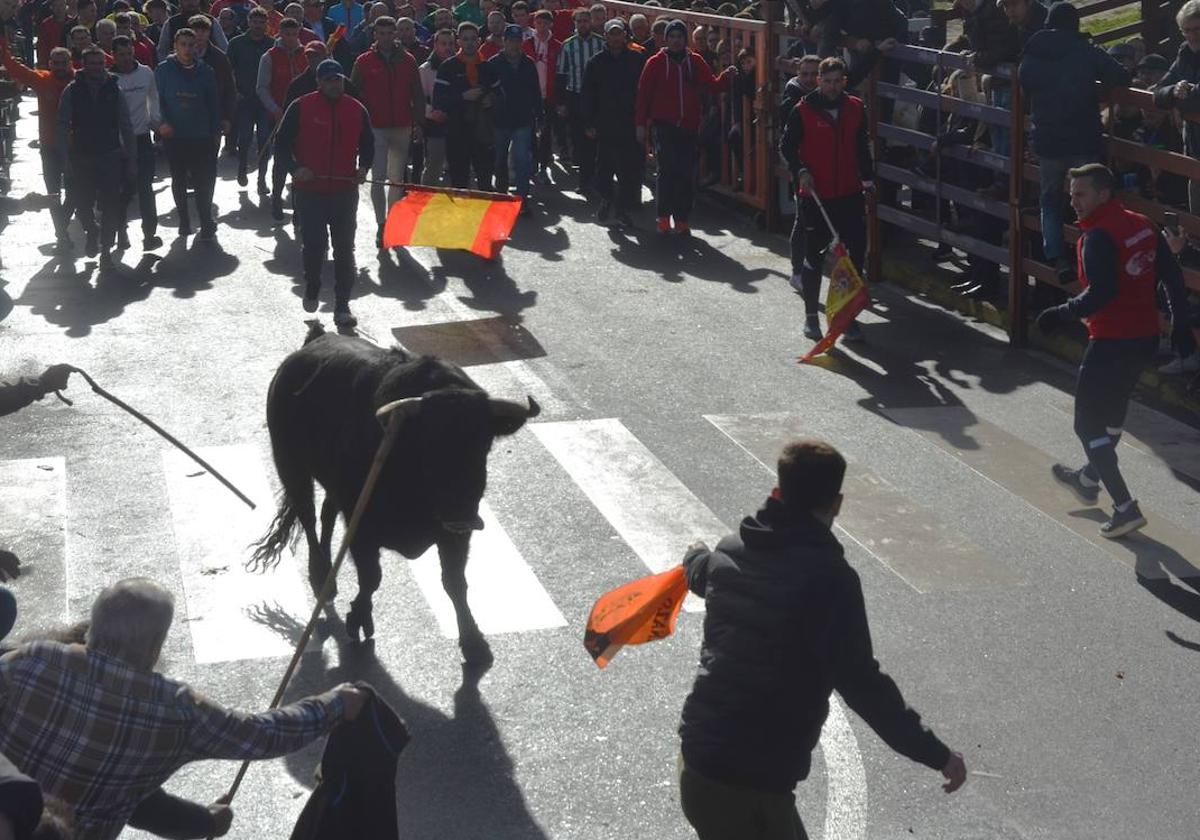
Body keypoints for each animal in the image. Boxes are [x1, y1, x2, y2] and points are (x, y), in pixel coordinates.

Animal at [253, 328, 540, 662]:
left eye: (484, 443)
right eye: (428, 443)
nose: (459, 512)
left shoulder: (455, 535)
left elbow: (455, 582)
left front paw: (473, 641)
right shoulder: (363, 528)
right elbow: (371, 578)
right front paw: (359, 618)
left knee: (326, 514)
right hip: (291, 466)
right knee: (308, 517)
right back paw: (322, 575)